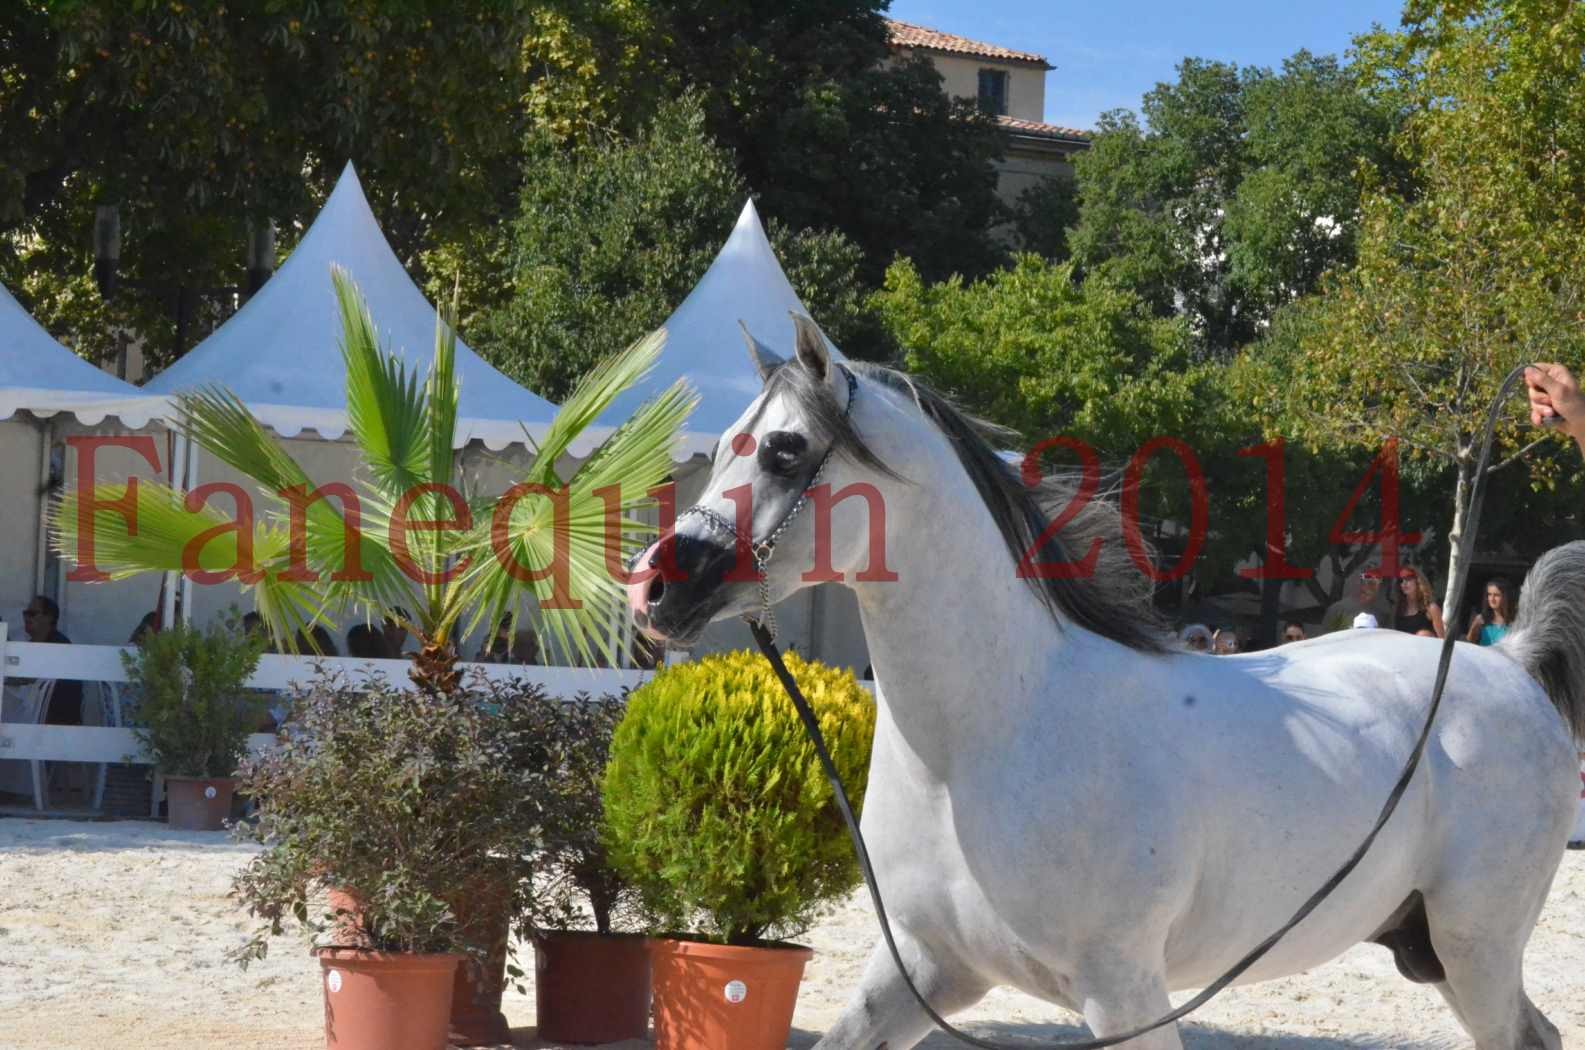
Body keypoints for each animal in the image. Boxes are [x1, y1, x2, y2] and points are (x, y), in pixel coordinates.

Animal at [624, 318, 1578, 1050]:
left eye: (785, 451)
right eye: (722, 448)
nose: (653, 587)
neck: (985, 742)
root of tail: (1510, 663)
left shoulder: (1121, 993)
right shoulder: (923, 972)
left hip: (1475, 943)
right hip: (1431, 948)